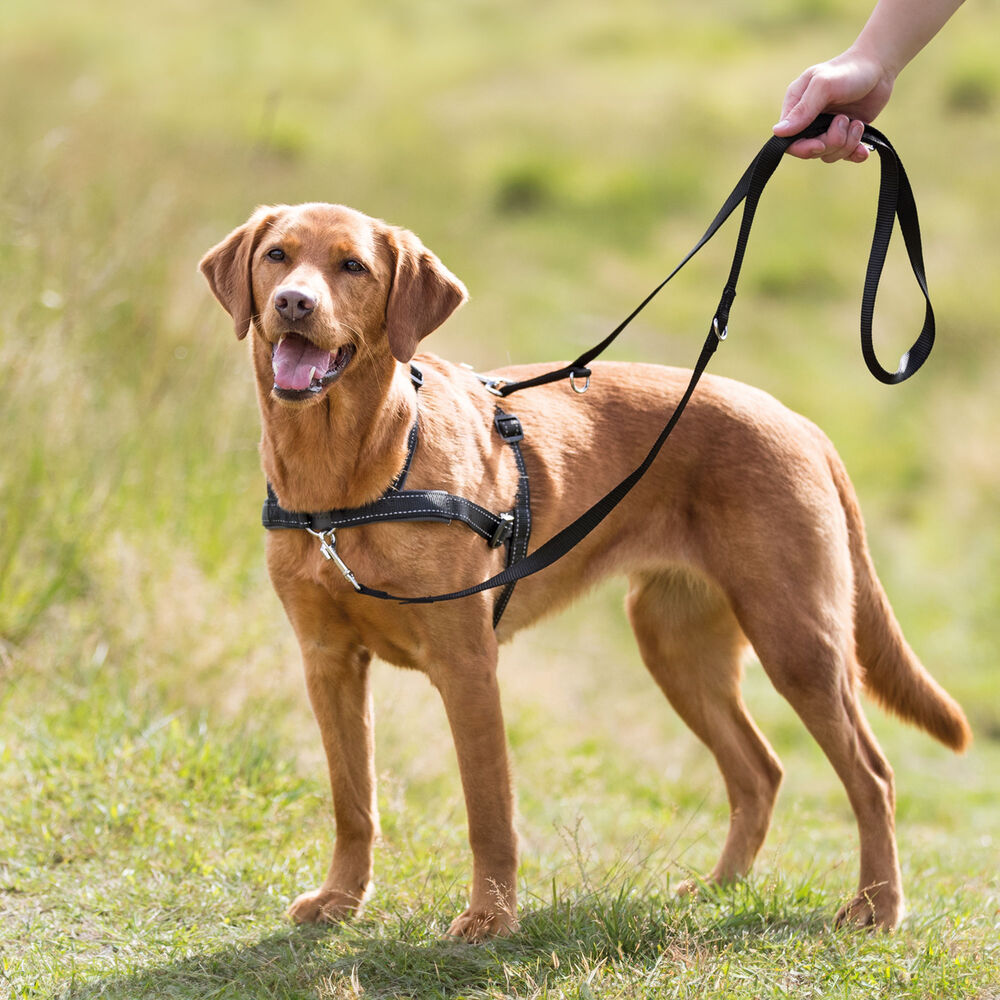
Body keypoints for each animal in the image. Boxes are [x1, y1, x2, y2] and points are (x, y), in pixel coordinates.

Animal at [199, 201, 972, 936]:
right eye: (278, 256)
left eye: (353, 266)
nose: (294, 303)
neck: (349, 479)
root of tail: (802, 424)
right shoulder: (328, 660)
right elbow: (352, 802)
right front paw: (341, 900)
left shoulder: (466, 664)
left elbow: (489, 812)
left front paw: (492, 919)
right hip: (676, 646)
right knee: (759, 772)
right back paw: (720, 888)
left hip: (798, 643)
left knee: (873, 777)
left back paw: (877, 906)